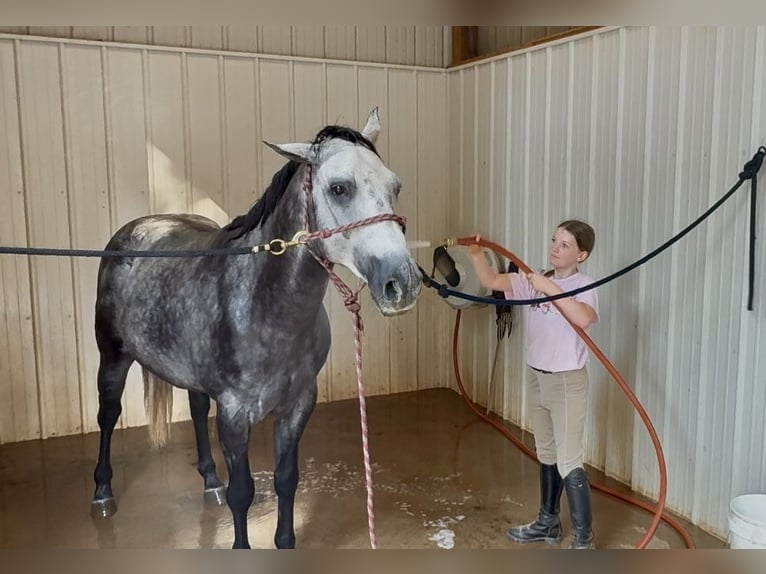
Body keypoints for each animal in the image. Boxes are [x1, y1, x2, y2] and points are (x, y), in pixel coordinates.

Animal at [90, 108, 422, 549]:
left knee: (197, 410)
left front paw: (284, 540)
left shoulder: (298, 406)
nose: (403, 283)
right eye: (339, 188)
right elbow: (243, 493)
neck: (266, 305)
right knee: (108, 414)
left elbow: (286, 481)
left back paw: (210, 481)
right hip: (113, 358)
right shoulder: (234, 415)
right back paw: (102, 493)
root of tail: (134, 230)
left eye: (395, 186)